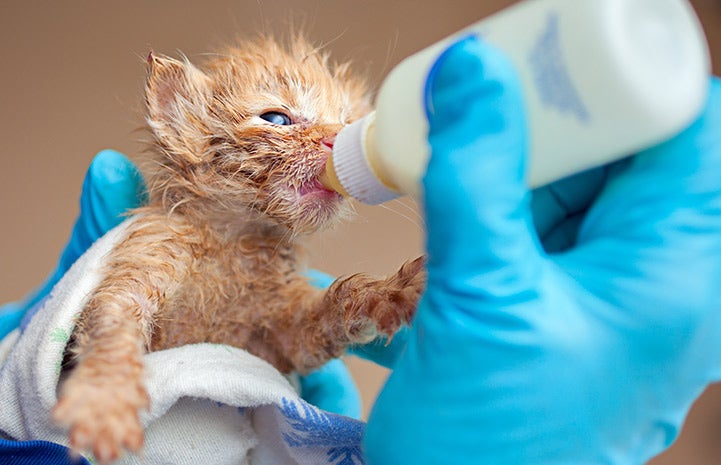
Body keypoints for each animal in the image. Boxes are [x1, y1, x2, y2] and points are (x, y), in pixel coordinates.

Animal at [53, 35, 424, 460]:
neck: (236, 240)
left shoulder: (280, 343)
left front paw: (397, 290)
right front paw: (105, 401)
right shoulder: (147, 254)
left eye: (348, 123)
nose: (337, 141)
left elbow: (339, 304)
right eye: (277, 119)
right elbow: (111, 322)